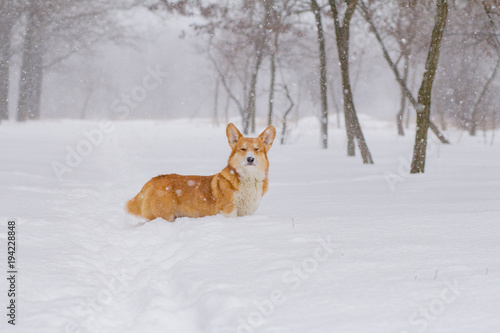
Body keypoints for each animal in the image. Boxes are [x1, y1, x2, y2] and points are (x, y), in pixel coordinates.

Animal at [124, 122, 274, 220]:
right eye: (243, 149)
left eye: (257, 149)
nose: (250, 158)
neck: (248, 178)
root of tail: (153, 180)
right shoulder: (229, 211)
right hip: (162, 216)